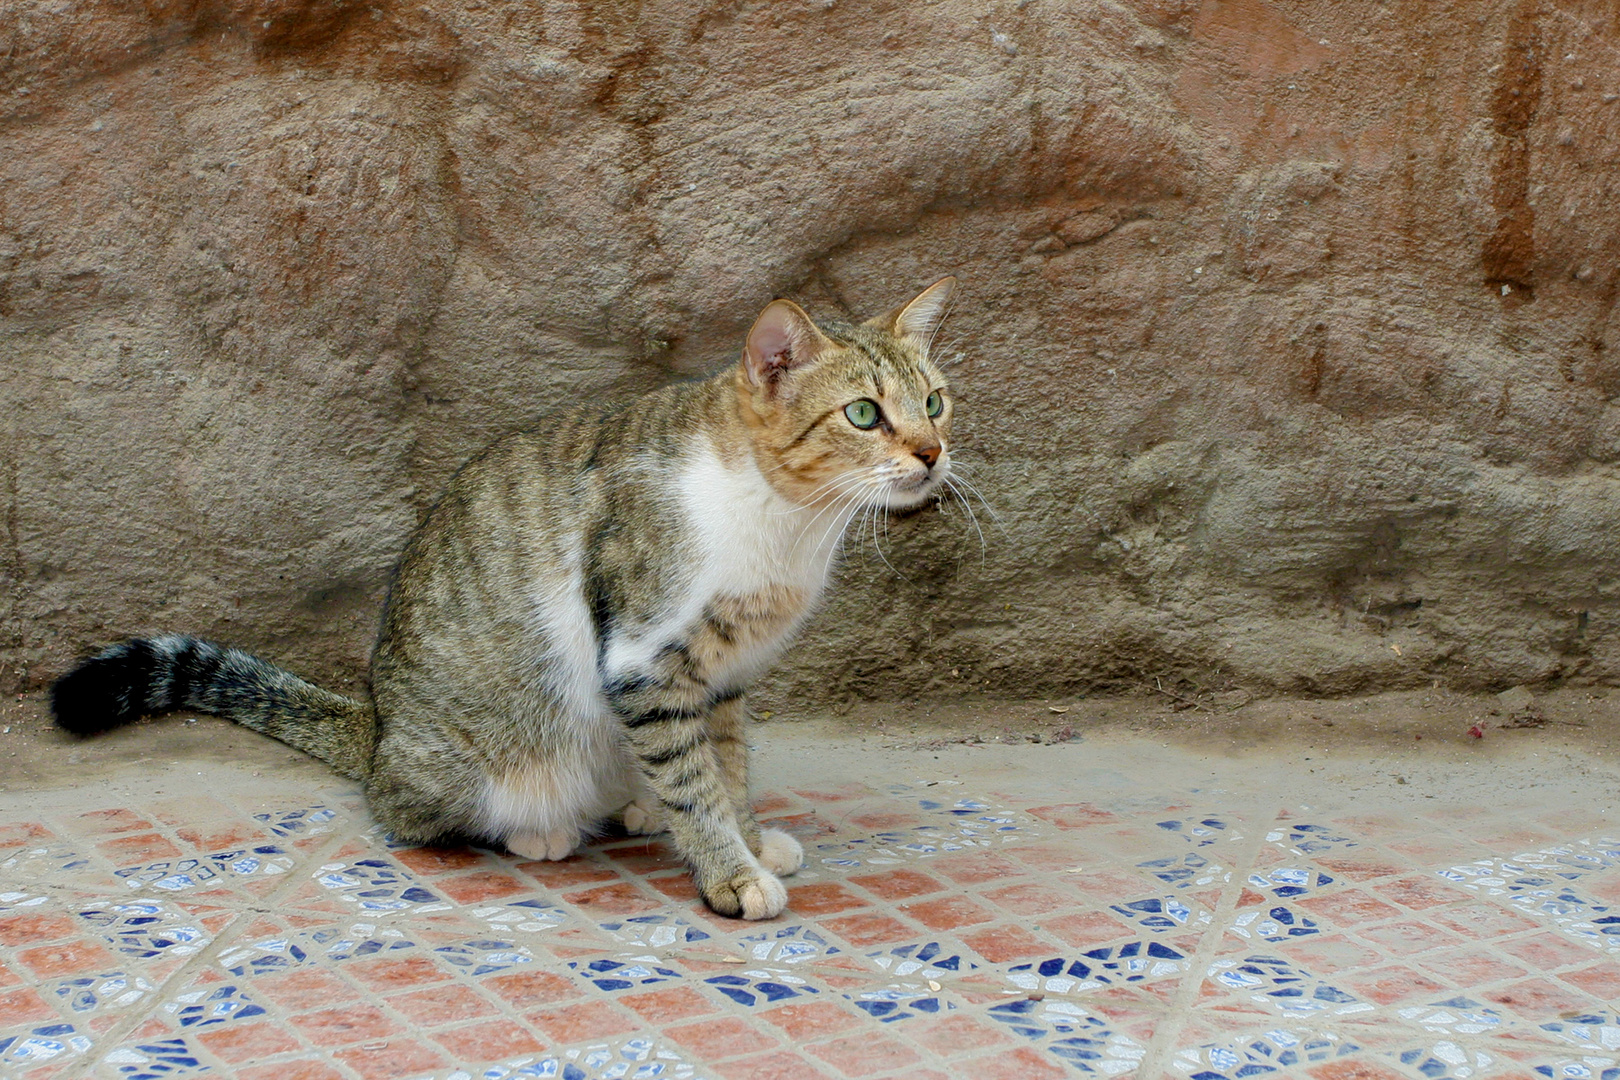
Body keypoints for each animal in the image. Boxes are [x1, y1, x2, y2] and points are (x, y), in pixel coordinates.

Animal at [50, 278, 959, 919]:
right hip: (460, 764)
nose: (932, 453)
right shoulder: (644, 660)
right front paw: (727, 872)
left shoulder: (726, 676)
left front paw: (746, 840)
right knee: (405, 811)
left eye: (934, 402)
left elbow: (727, 767)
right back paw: (539, 828)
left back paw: (632, 808)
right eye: (864, 413)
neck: (787, 520)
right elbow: (694, 779)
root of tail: (377, 725)